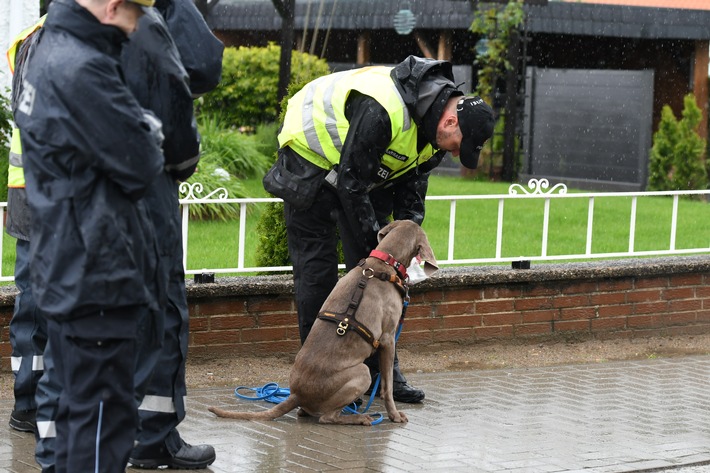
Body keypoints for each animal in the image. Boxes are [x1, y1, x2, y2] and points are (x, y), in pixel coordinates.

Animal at [209, 220, 436, 424]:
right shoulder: (388, 339)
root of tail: (296, 395)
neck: (384, 263)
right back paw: (359, 418)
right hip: (361, 372)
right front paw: (395, 415)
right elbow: (387, 385)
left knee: (307, 412)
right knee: (327, 417)